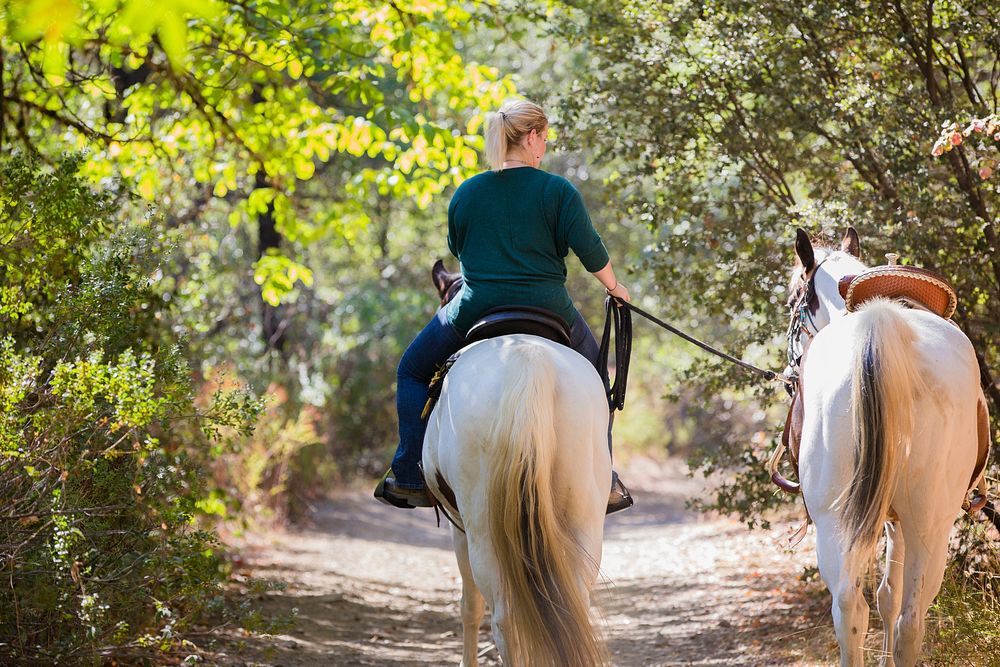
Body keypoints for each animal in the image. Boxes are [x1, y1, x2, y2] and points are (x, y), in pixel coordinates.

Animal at [788, 227, 984, 664]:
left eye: (792, 301)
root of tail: (881, 323)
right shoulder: (897, 522)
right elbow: (890, 596)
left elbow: (884, 596)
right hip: (929, 526)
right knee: (908, 619)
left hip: (837, 522)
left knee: (850, 607)